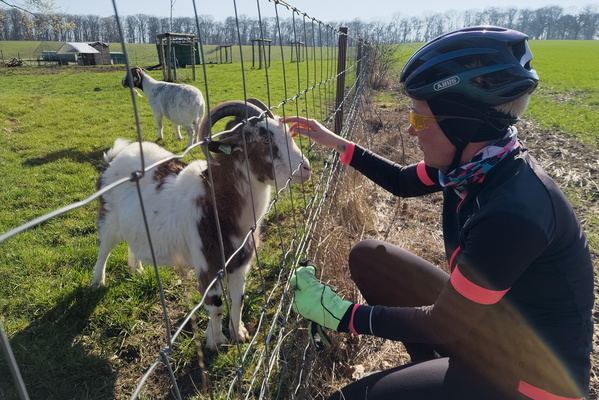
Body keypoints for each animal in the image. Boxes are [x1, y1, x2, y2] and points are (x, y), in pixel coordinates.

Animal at [92, 97, 314, 350]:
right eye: (265, 139)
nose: (305, 168)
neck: (216, 203)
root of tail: (114, 157)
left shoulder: (240, 262)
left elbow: (238, 300)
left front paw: (238, 334)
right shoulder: (208, 265)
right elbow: (216, 305)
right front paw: (216, 341)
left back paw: (136, 269)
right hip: (108, 217)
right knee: (104, 249)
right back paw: (98, 282)